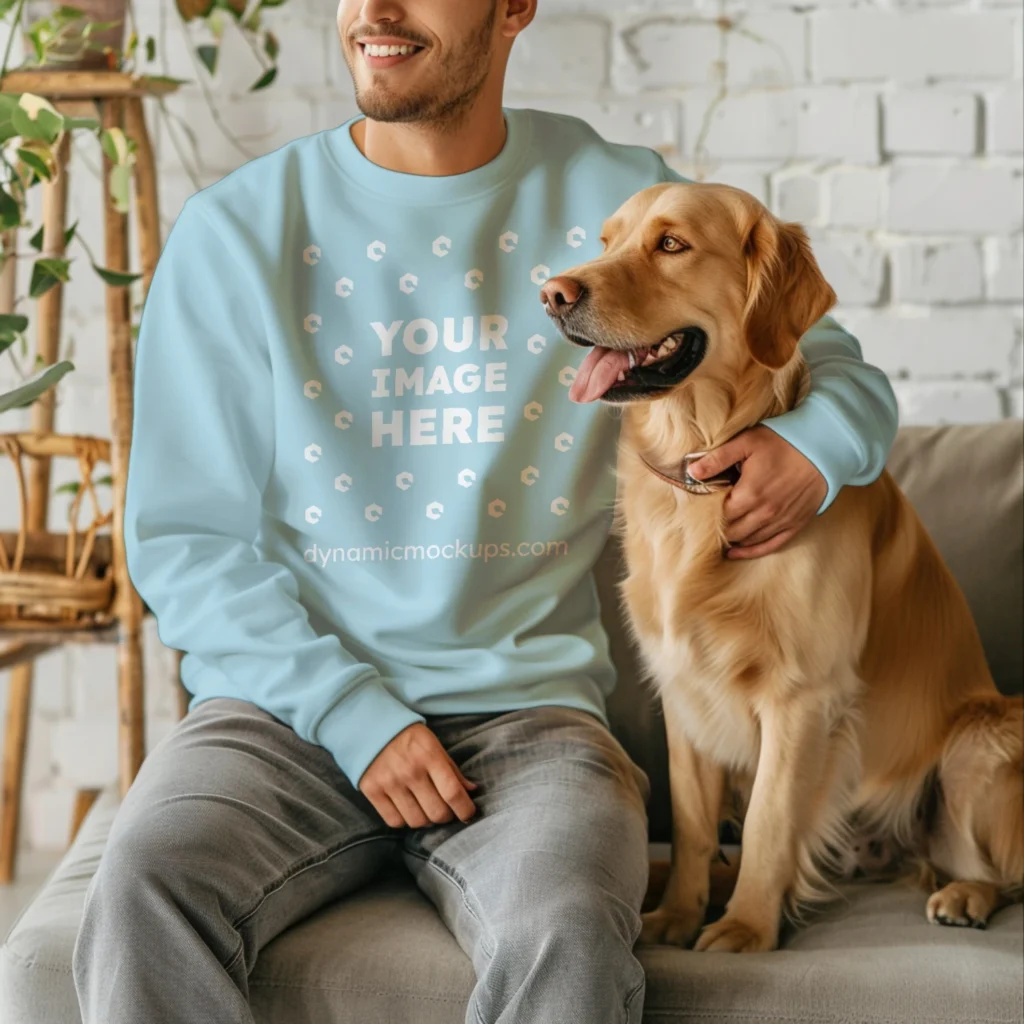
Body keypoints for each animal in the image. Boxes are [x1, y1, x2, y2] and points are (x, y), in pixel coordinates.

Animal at [540, 182, 1019, 950]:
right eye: (606, 241)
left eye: (670, 244)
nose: (553, 294)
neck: (705, 471)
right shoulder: (683, 690)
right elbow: (694, 824)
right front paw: (677, 914)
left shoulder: (803, 696)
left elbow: (768, 819)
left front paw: (744, 930)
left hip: (981, 739)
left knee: (992, 866)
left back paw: (964, 894)